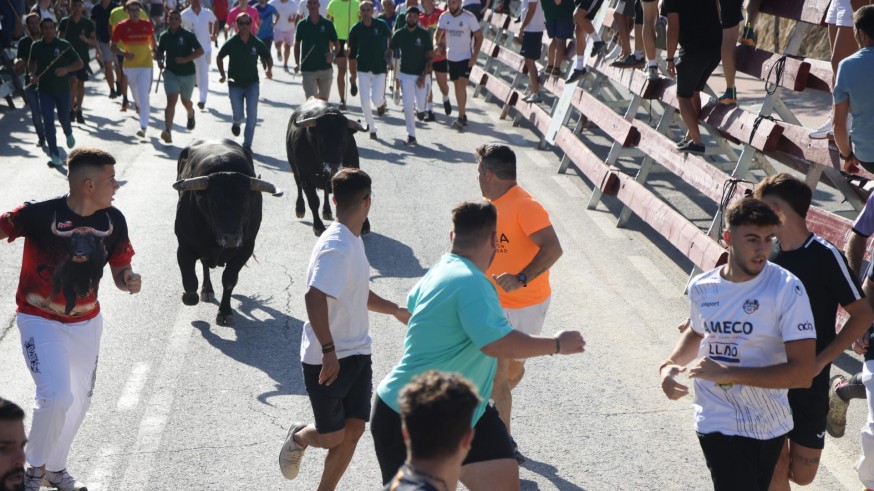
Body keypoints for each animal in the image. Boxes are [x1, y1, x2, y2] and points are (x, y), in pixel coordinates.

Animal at [175, 138, 284, 326]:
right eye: (213, 204)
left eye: (246, 203)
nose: (232, 238)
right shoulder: (183, 246)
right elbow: (189, 280)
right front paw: (189, 297)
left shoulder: (245, 249)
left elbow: (229, 280)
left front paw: (225, 312)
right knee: (204, 265)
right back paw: (206, 290)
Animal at [286, 97, 368, 236]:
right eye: (320, 138)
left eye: (344, 138)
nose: (333, 166)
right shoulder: (306, 178)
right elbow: (313, 201)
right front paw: (318, 226)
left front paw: (365, 225)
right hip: (294, 167)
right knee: (299, 187)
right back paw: (300, 209)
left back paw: (327, 211)